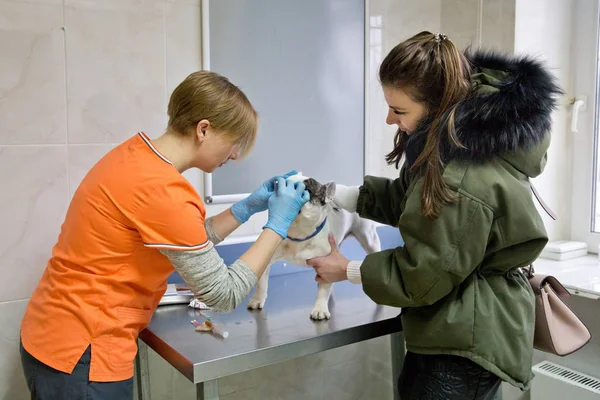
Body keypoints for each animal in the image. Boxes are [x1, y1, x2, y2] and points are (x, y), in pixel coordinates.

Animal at [247, 172, 380, 318]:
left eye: (307, 190)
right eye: (281, 183)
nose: (282, 187)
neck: (299, 234)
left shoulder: (328, 262)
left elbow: (323, 291)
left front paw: (320, 309)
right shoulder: (267, 257)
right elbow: (261, 284)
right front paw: (257, 299)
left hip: (368, 237)